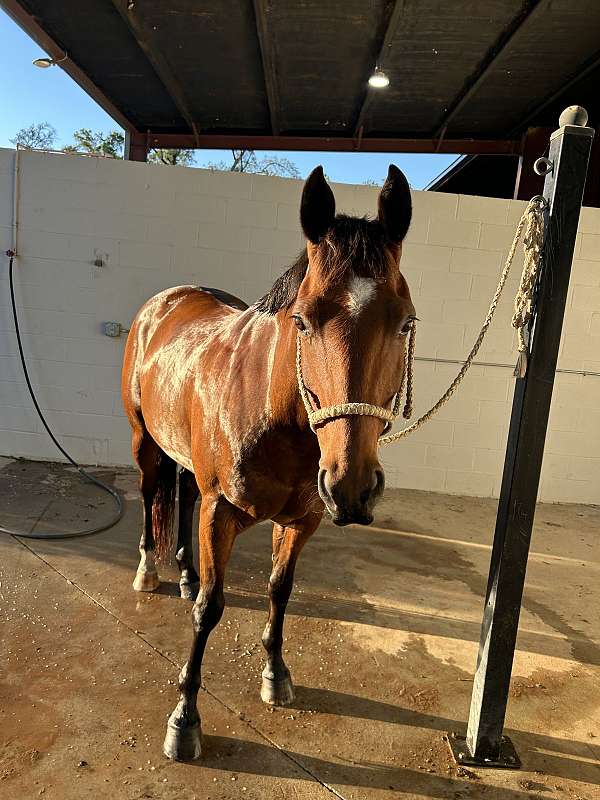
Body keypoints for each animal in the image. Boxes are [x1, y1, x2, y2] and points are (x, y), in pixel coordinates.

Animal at [121, 164, 415, 761]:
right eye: (302, 321)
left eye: (404, 323)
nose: (351, 487)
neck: (273, 412)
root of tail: (164, 302)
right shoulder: (221, 513)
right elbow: (210, 609)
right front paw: (184, 718)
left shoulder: (304, 519)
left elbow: (280, 589)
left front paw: (276, 674)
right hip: (145, 443)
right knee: (148, 496)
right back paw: (149, 571)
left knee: (183, 493)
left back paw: (184, 570)